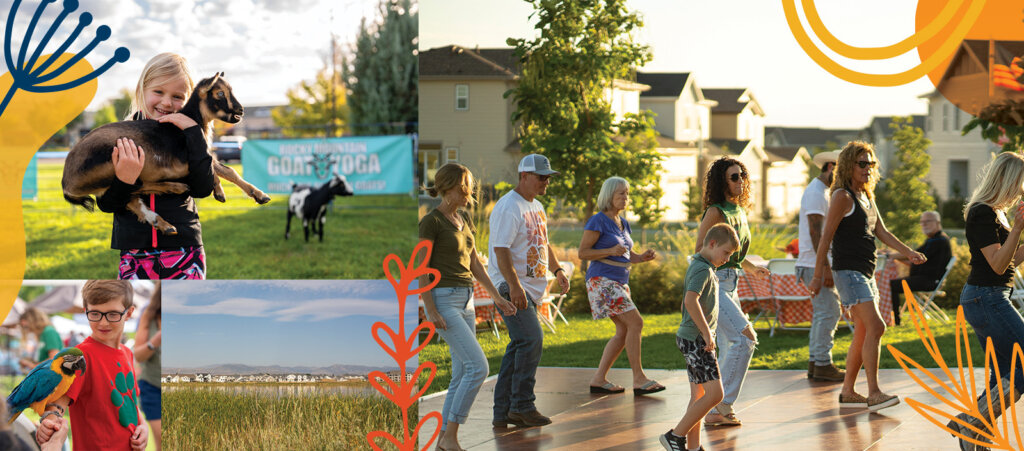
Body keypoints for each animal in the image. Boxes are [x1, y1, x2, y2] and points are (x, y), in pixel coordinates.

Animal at [59, 72, 268, 234]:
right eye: (219, 93)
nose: (240, 110)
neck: (191, 120)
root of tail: (66, 183)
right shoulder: (184, 160)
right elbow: (218, 169)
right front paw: (223, 192)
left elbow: (226, 169)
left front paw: (258, 196)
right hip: (115, 167)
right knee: (136, 188)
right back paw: (174, 189)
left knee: (134, 199)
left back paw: (166, 221)